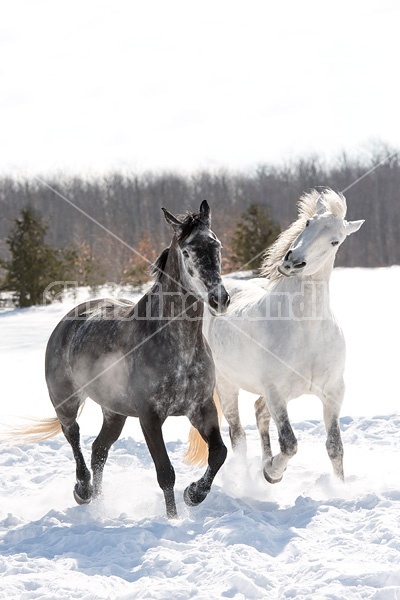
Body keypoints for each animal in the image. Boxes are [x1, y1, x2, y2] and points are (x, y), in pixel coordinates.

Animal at [186, 190, 364, 486]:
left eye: (335, 240)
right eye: (308, 223)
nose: (292, 261)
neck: (306, 330)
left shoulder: (333, 393)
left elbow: (335, 446)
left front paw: (340, 487)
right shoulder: (276, 393)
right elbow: (290, 443)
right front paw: (272, 473)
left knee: (259, 413)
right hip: (227, 384)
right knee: (237, 433)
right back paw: (249, 480)